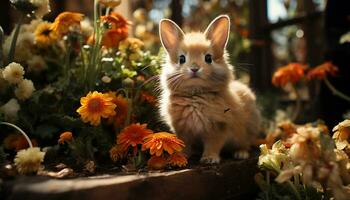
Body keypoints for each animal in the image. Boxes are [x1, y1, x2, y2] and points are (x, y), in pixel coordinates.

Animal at [158, 14, 260, 163]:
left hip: (246, 132)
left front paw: (209, 159)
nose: (194, 68)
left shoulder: (218, 127)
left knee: (245, 144)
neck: (195, 94)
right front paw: (181, 157)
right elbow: (185, 144)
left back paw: (240, 154)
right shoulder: (182, 130)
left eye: (208, 58)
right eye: (181, 59)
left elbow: (213, 144)